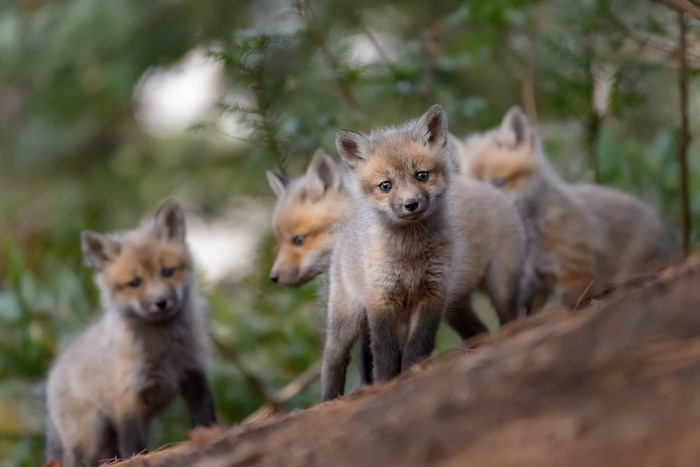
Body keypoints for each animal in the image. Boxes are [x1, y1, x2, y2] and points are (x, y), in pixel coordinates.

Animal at [45, 200, 216, 467]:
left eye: (168, 272)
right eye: (135, 283)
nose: (161, 302)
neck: (164, 349)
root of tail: (53, 372)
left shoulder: (193, 372)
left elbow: (203, 416)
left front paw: (211, 437)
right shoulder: (128, 396)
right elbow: (132, 444)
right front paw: (138, 459)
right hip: (91, 433)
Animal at [321, 105, 527, 401]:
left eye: (422, 175)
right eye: (385, 185)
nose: (411, 204)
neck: (411, 255)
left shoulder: (434, 292)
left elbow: (419, 343)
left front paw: (412, 372)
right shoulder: (382, 298)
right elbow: (384, 351)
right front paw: (387, 382)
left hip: (495, 288)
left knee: (496, 323)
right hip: (346, 317)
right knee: (333, 358)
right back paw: (329, 398)